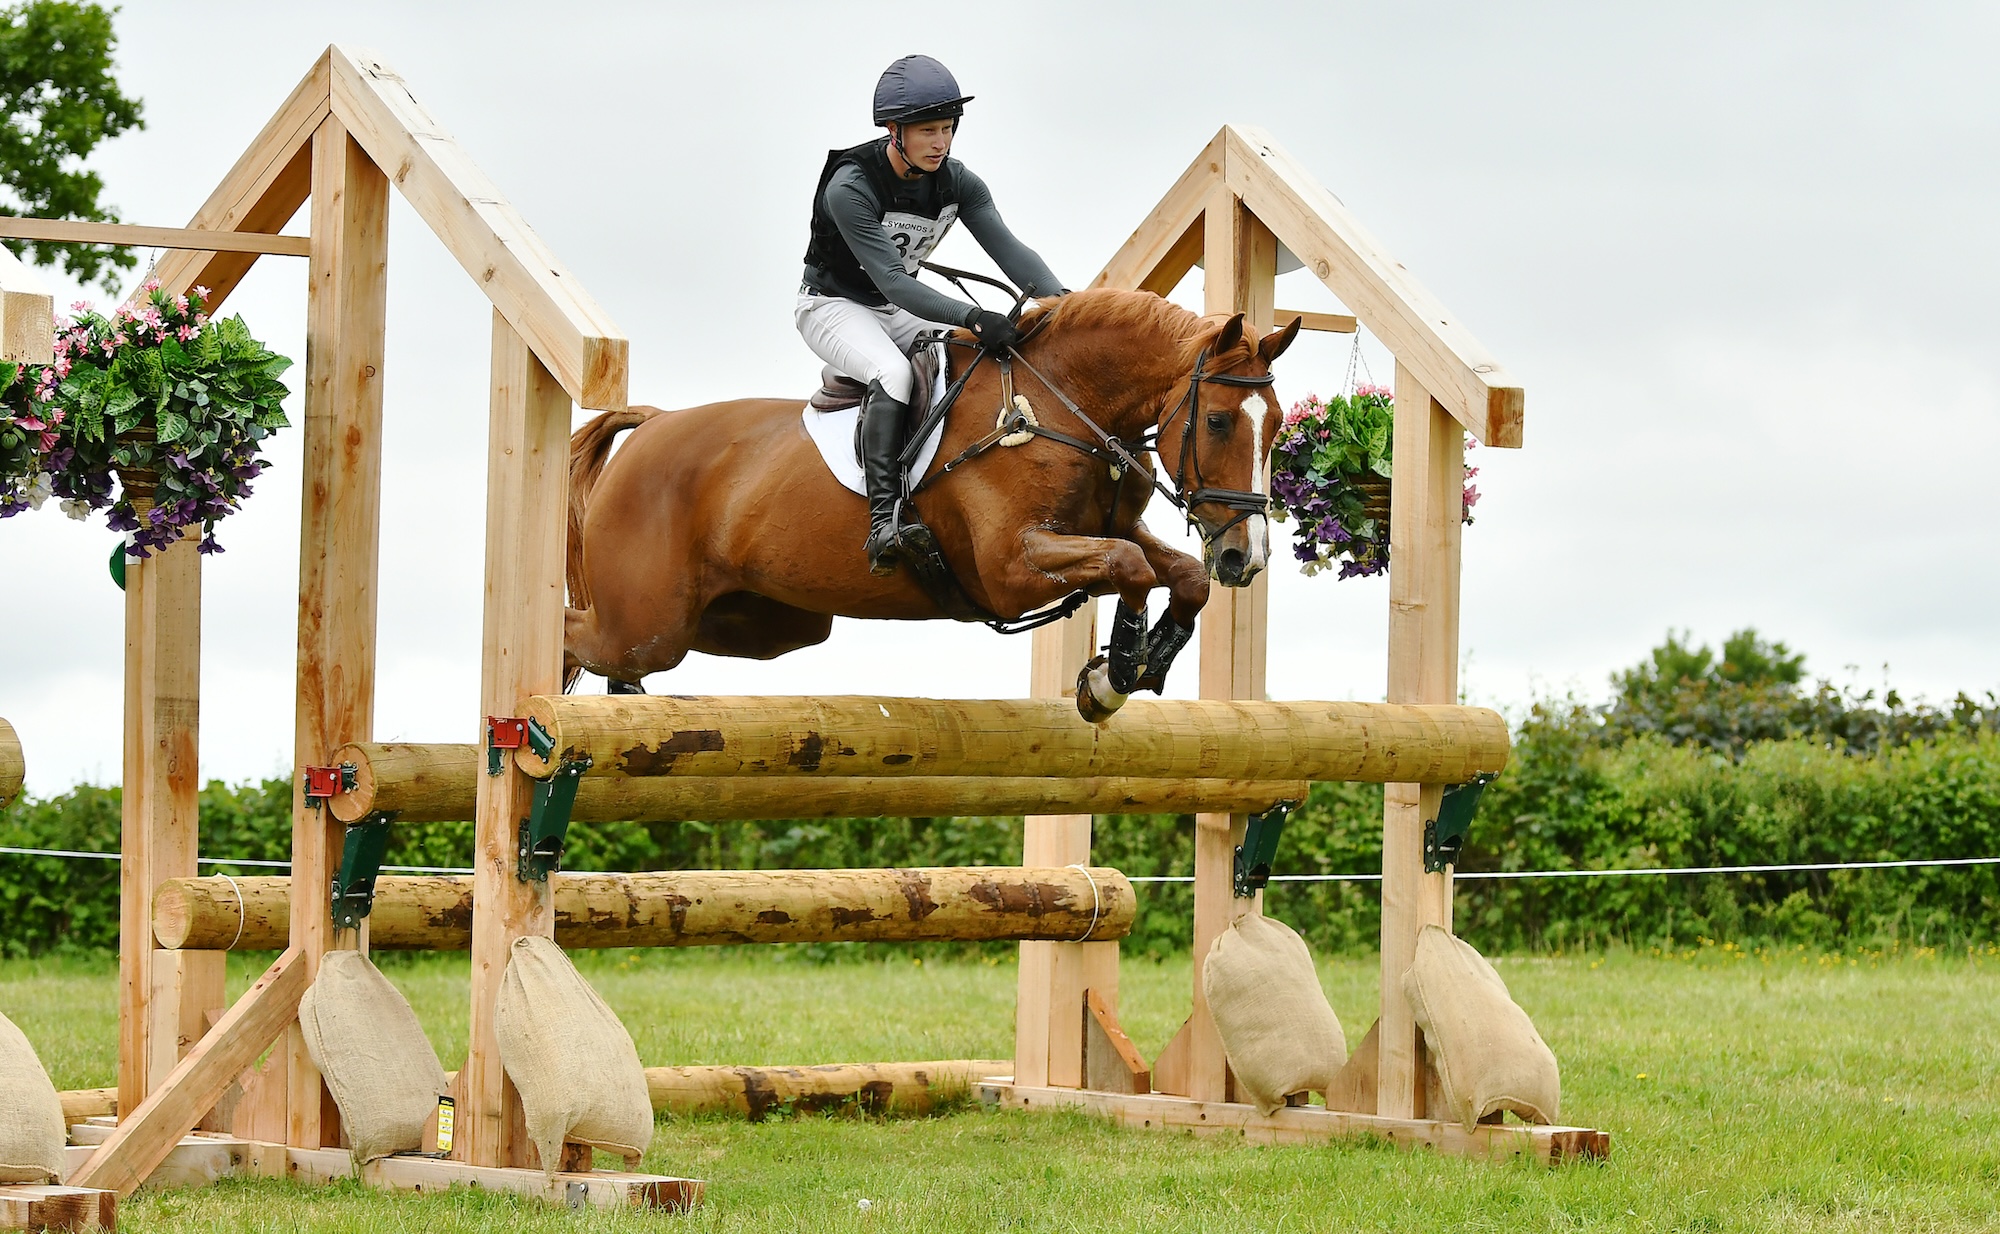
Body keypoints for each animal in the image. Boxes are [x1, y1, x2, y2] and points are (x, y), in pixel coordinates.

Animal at [562, 287, 1301, 722]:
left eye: (1278, 425)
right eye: (1217, 423)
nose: (1246, 557)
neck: (1059, 405)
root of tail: (654, 424)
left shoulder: (1106, 529)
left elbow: (1180, 573)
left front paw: (1140, 662)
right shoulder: (1007, 571)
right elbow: (1131, 566)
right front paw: (1115, 672)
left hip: (768, 621)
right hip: (648, 622)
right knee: (579, 632)